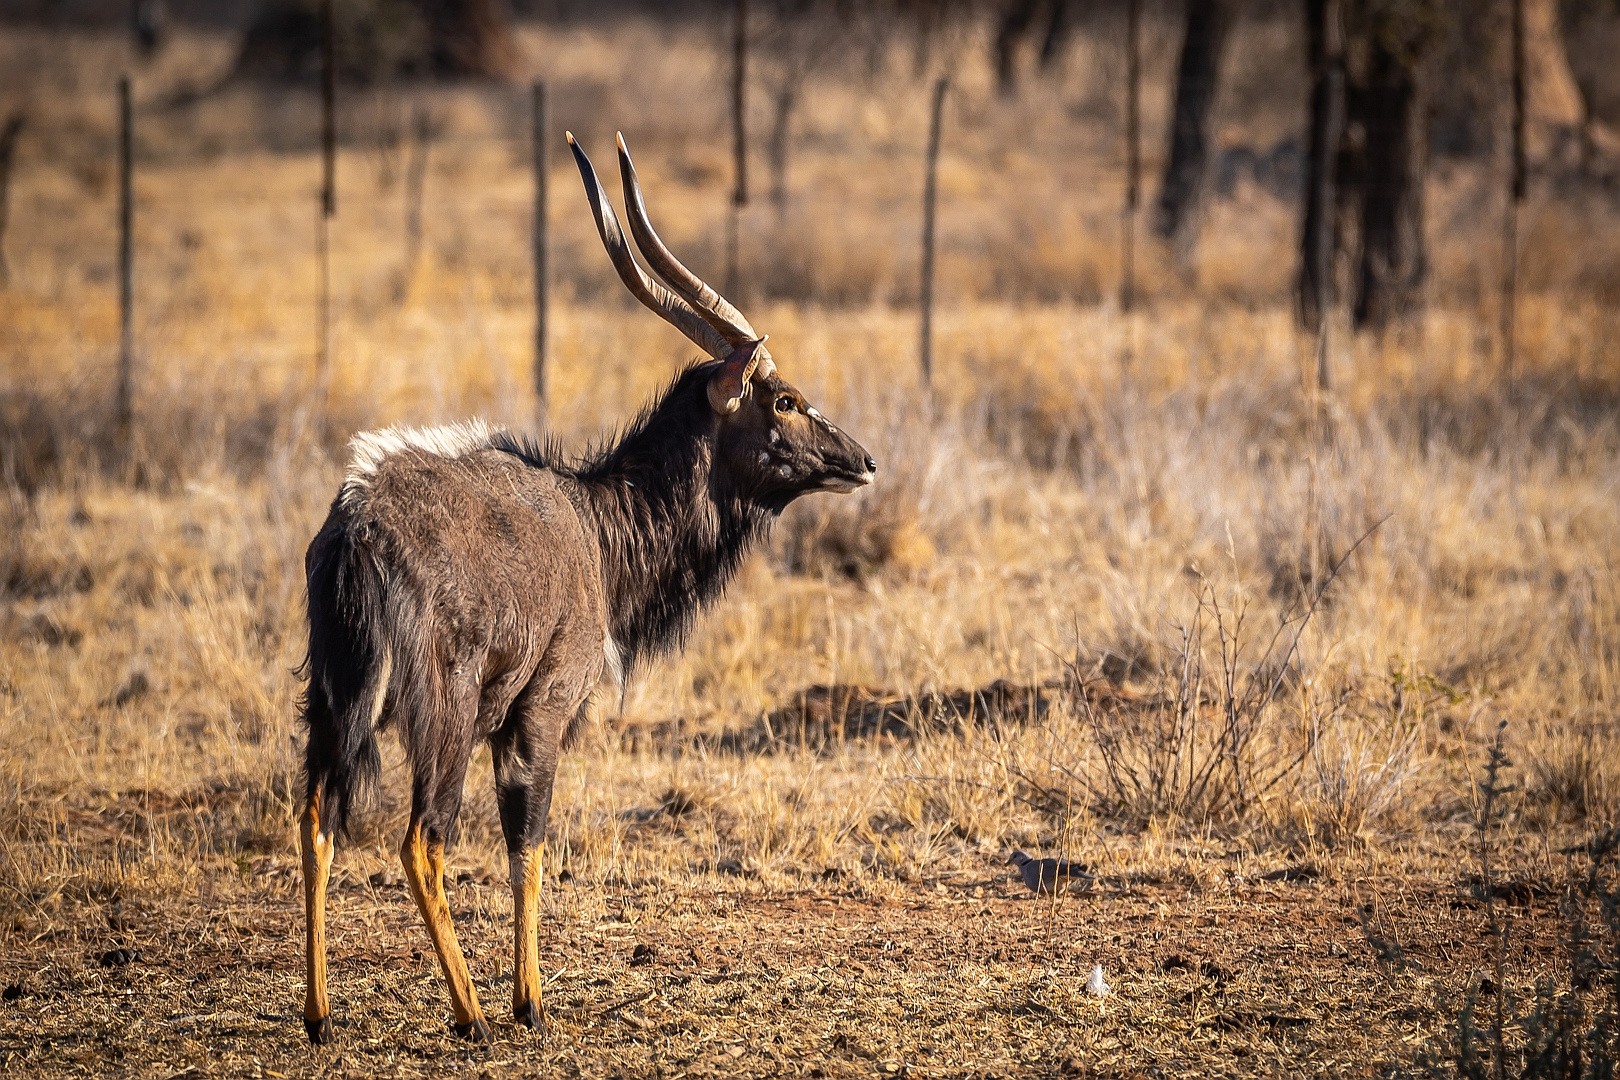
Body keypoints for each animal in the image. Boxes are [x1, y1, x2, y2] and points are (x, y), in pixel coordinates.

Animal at [291, 131, 874, 1042]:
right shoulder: (541, 708)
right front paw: (530, 1003)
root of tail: (356, 526)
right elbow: (527, 843)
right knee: (420, 836)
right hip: (442, 712)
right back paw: (472, 1016)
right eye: (785, 399)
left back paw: (320, 1017)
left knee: (315, 815)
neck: (596, 526)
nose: (862, 459)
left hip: (330, 696)